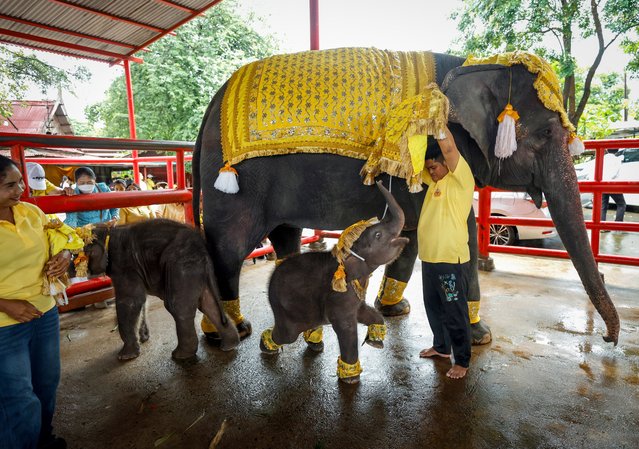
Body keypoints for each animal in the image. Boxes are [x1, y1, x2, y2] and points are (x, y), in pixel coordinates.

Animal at [85, 217, 240, 360]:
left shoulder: (124, 265)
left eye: (83, 254)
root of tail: (203, 248)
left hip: (181, 265)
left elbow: (130, 301)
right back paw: (229, 346)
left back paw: (180, 355)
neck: (109, 230)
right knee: (208, 303)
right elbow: (142, 301)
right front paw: (143, 338)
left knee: (177, 306)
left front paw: (125, 357)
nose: (87, 272)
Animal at [194, 49, 620, 344]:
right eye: (547, 132)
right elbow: (463, 231)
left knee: (285, 235)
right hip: (235, 182)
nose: (607, 338)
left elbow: (414, 233)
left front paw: (396, 309)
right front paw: (480, 335)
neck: (475, 62)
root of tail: (213, 101)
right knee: (229, 247)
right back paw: (230, 330)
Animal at [262, 182, 408, 382]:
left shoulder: (355, 296)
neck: (344, 257)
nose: (379, 182)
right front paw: (351, 378)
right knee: (288, 335)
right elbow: (345, 327)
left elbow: (366, 312)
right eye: (378, 235)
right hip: (286, 310)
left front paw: (375, 342)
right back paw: (266, 347)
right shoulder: (339, 296)